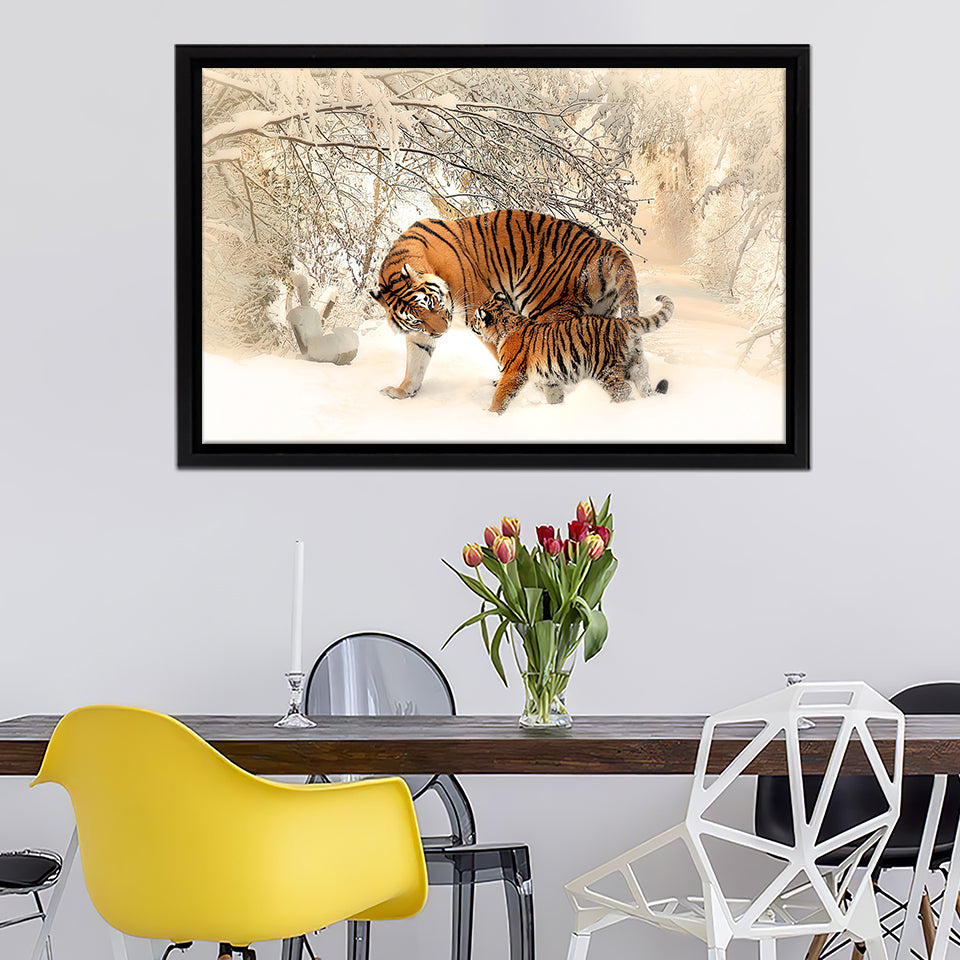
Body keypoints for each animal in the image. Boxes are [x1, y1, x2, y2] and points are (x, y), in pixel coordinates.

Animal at [369, 210, 648, 399]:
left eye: (433, 304)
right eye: (417, 319)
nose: (442, 331)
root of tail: (605, 244)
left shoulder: (480, 309)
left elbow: (503, 350)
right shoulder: (420, 334)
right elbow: (416, 361)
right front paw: (403, 391)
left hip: (547, 308)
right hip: (601, 314)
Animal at [467, 292, 674, 415]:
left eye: (477, 318)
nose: (470, 324)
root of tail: (621, 322)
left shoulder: (513, 373)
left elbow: (500, 395)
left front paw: (490, 415)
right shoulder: (549, 378)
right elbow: (554, 395)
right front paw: (557, 410)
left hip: (604, 368)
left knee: (623, 389)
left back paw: (610, 408)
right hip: (636, 364)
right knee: (643, 384)